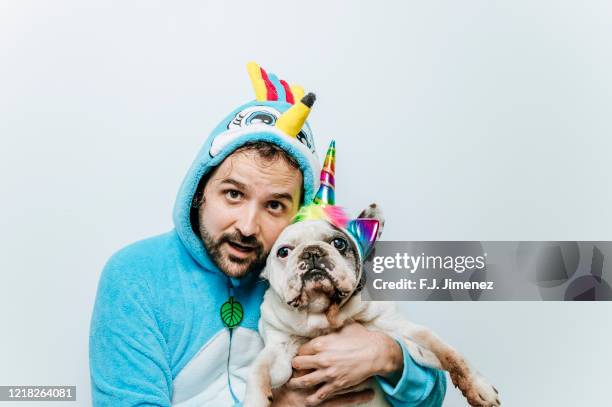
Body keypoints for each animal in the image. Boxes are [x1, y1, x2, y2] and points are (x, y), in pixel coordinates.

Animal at [244, 204, 502, 407]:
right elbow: (257, 371)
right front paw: (254, 399)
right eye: (283, 252)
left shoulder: (402, 331)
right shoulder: (279, 351)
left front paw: (479, 387)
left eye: (339, 243)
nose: (312, 252)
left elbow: (449, 353)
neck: (325, 316)